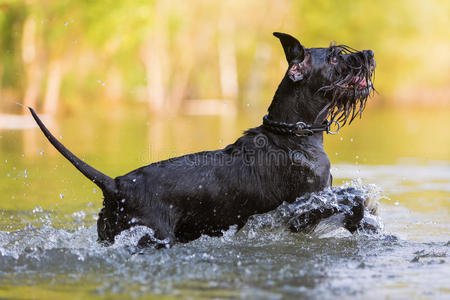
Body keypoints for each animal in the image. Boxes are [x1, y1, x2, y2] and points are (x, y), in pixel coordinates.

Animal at [29, 32, 376, 246]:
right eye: (334, 58)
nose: (370, 53)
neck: (293, 134)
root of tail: (115, 185)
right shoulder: (302, 212)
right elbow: (350, 201)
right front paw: (362, 216)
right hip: (154, 234)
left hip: (111, 231)